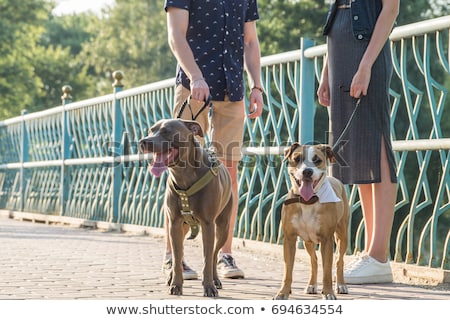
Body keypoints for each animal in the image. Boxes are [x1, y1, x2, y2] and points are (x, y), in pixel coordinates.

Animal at [140, 118, 232, 298]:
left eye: (167, 131)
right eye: (151, 130)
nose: (143, 141)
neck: (183, 174)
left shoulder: (208, 224)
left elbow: (207, 257)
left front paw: (209, 286)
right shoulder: (174, 223)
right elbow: (176, 258)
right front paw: (176, 284)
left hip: (222, 228)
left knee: (214, 253)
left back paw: (216, 280)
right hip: (182, 227)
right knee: (179, 253)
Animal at [272, 143, 350, 300]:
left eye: (317, 160)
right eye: (297, 158)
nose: (307, 171)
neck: (307, 202)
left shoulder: (327, 240)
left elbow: (327, 271)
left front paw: (328, 293)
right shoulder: (289, 239)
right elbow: (288, 270)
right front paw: (283, 292)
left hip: (342, 235)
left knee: (339, 260)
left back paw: (341, 285)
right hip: (307, 242)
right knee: (313, 260)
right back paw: (312, 285)